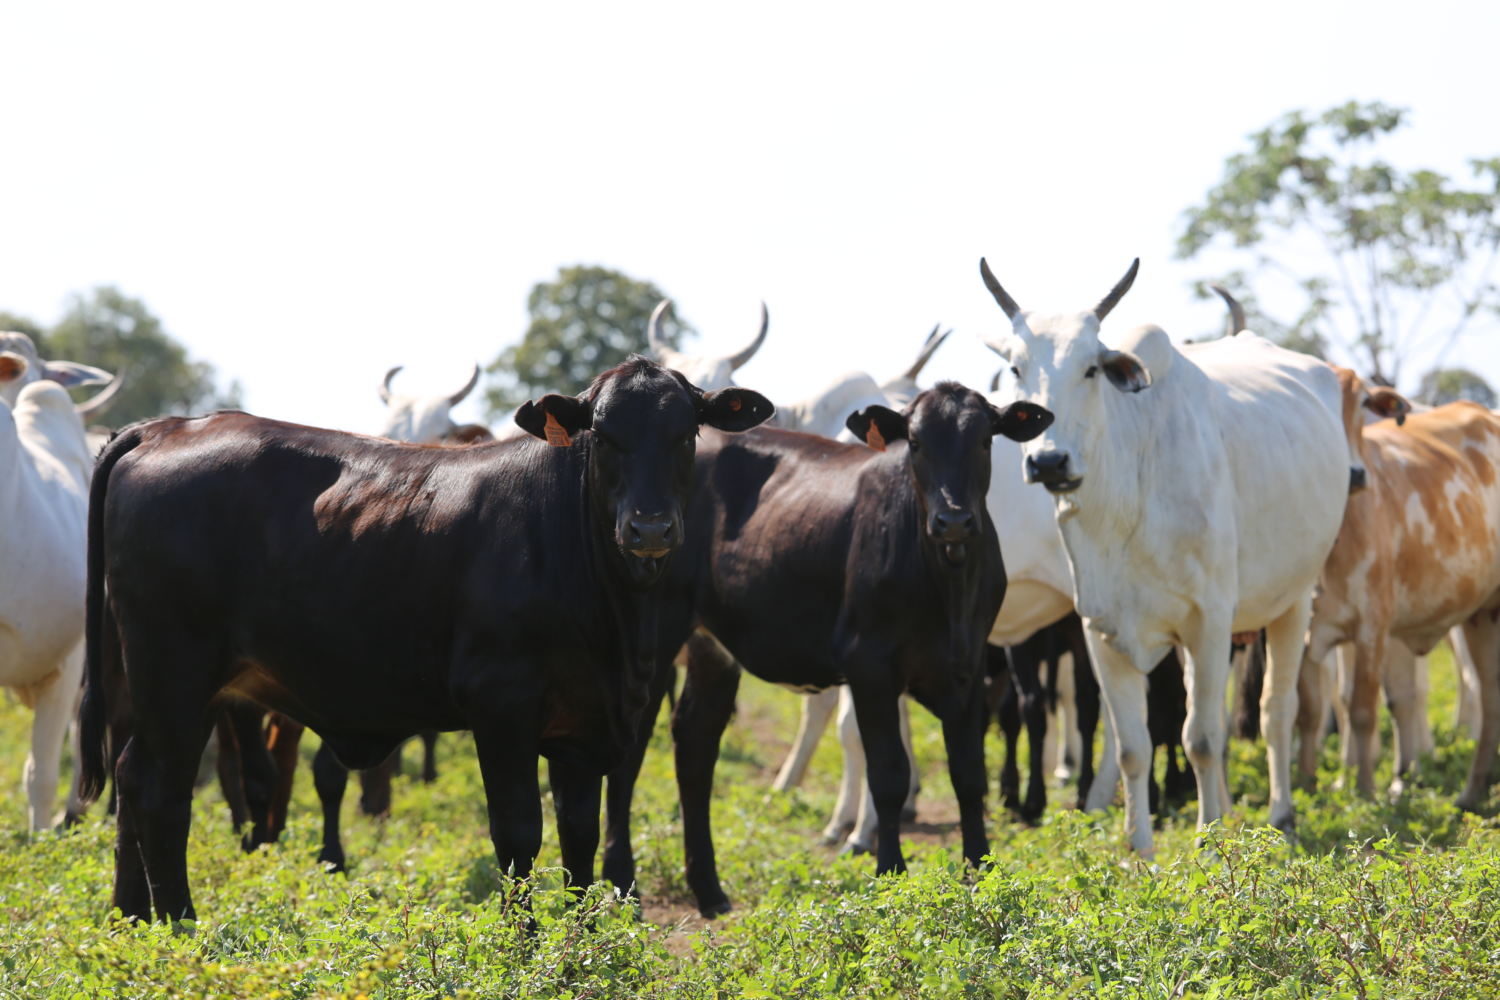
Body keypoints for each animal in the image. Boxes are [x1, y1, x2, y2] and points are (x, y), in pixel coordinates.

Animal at [74, 358, 768, 923]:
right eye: (603, 434)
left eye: (687, 433)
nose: (649, 527)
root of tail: (168, 428)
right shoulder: (502, 706)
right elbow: (519, 834)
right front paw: (526, 946)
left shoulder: (584, 722)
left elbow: (579, 838)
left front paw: (586, 944)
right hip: (176, 674)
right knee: (159, 792)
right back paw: (179, 925)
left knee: (131, 779)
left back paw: (131, 918)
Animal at [594, 383, 1044, 917]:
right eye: (914, 444)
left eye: (984, 440)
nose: (953, 520)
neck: (948, 582)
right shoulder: (870, 666)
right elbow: (889, 775)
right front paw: (890, 875)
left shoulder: (968, 667)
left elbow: (969, 774)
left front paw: (982, 873)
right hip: (655, 637)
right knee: (632, 751)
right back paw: (622, 885)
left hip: (712, 648)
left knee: (696, 746)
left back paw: (709, 889)